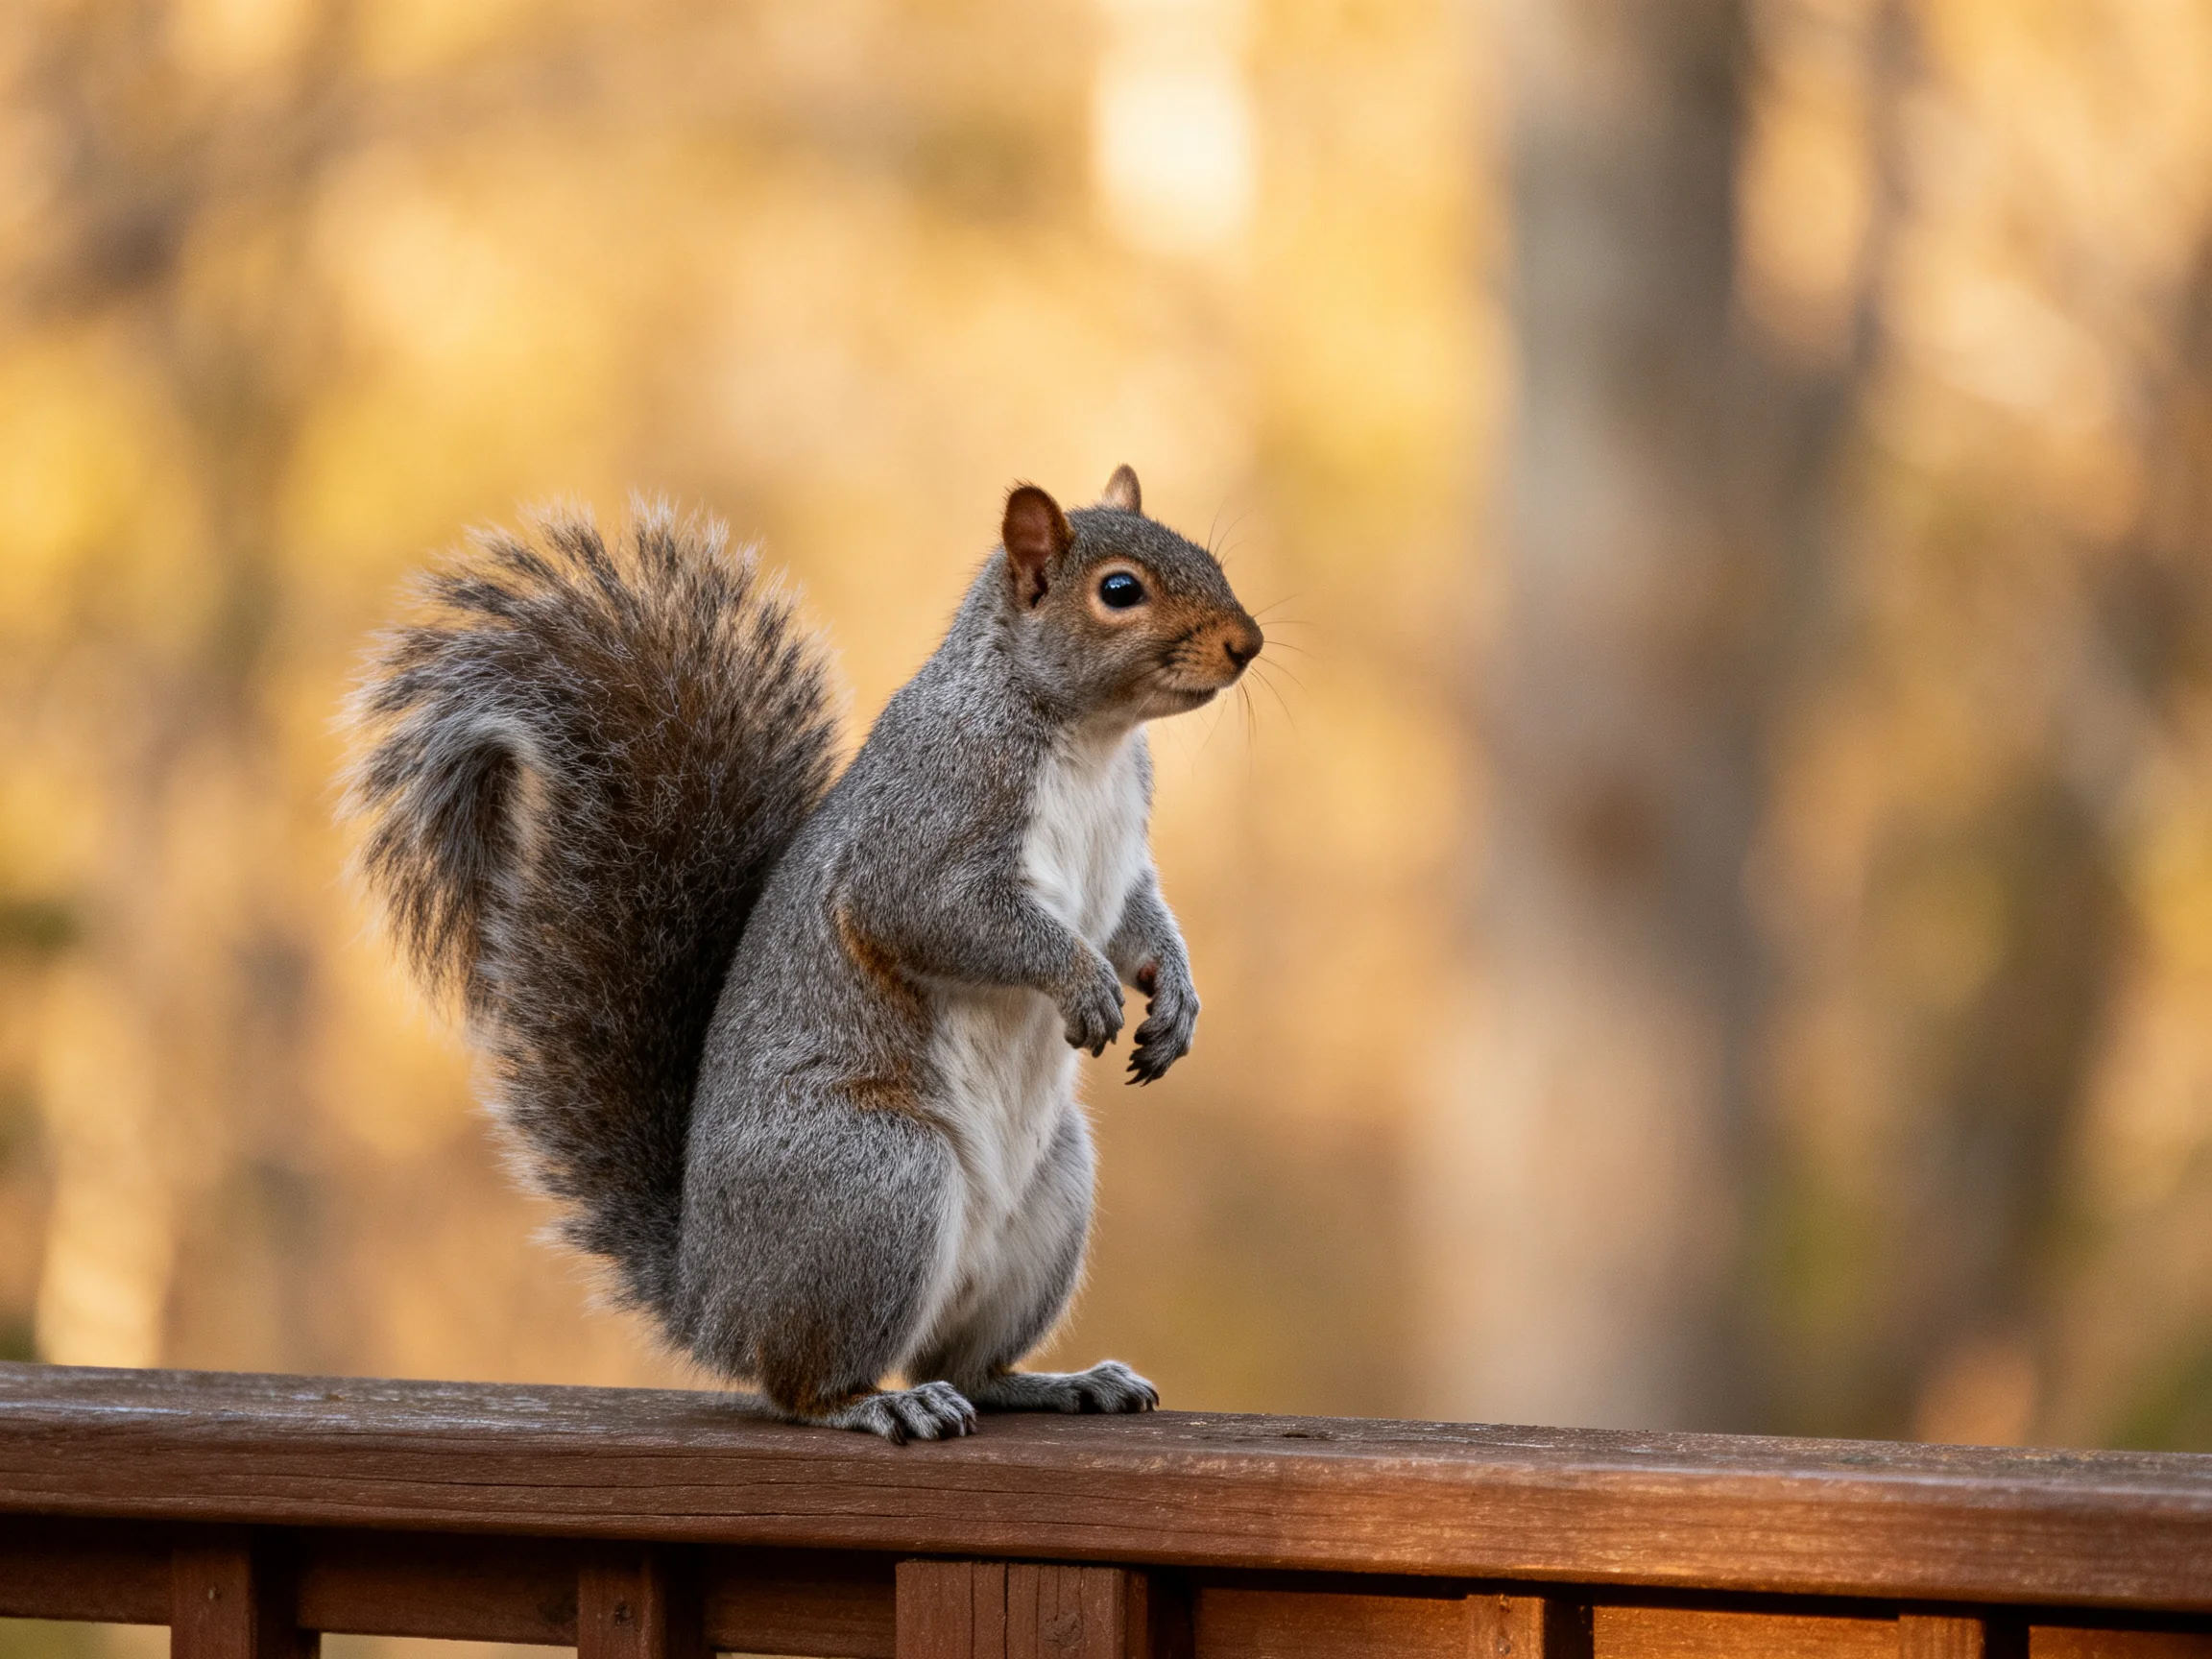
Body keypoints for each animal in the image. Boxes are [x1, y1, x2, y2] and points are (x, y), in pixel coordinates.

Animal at [344, 465, 1263, 1441]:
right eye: (1120, 590)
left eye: (1208, 558)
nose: (1248, 644)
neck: (1091, 737)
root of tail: (710, 1300)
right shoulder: (929, 823)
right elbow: (943, 915)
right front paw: (1080, 981)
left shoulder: (1122, 862)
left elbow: (1138, 922)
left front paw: (1177, 999)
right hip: (876, 1181)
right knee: (802, 1383)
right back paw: (875, 1405)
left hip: (1051, 1196)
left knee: (969, 1367)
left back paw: (1056, 1382)